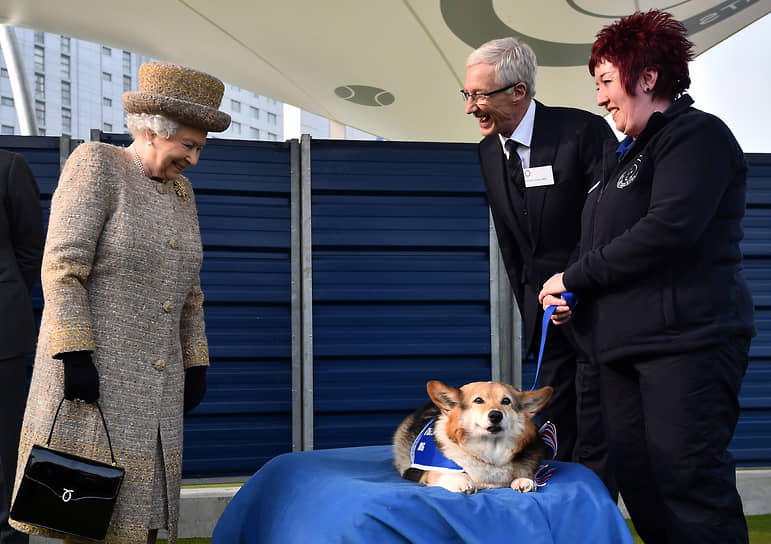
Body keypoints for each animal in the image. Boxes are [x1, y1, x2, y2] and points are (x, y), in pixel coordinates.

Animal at [396, 382, 552, 492]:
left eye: (506, 401)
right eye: (478, 400)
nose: (495, 415)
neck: (489, 449)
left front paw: (523, 480)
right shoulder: (417, 471)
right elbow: (439, 473)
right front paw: (460, 481)